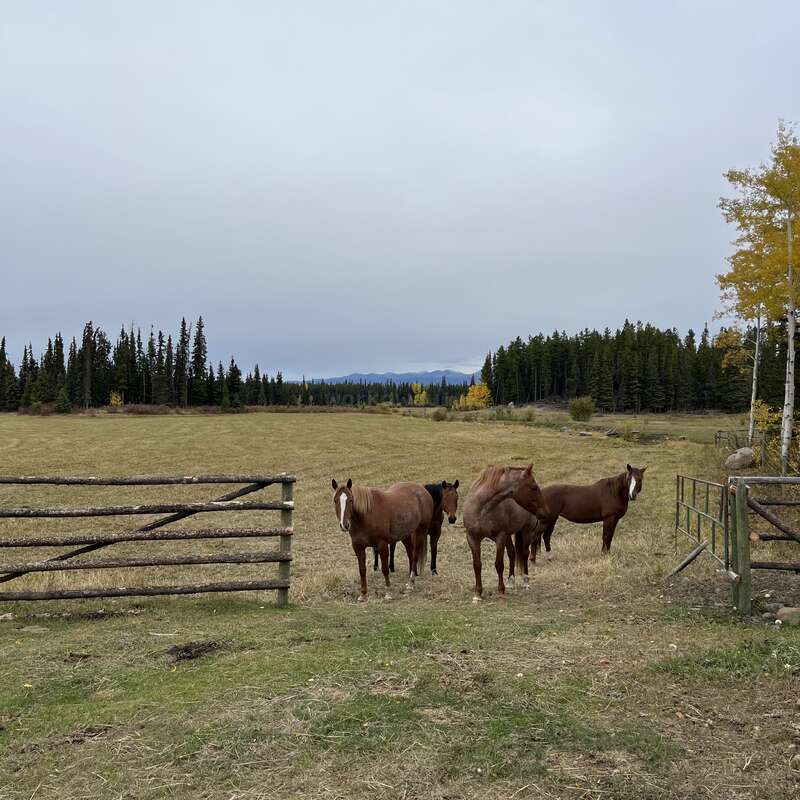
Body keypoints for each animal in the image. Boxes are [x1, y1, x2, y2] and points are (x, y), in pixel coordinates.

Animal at [462, 465, 549, 602]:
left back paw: (526, 581)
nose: (546, 512)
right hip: (509, 535)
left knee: (524, 553)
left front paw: (501, 591)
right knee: (512, 553)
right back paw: (511, 581)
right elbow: (477, 565)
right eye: (534, 487)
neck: (481, 509)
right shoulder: (472, 538)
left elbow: (499, 564)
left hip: (526, 531)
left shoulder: (500, 537)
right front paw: (478, 594)